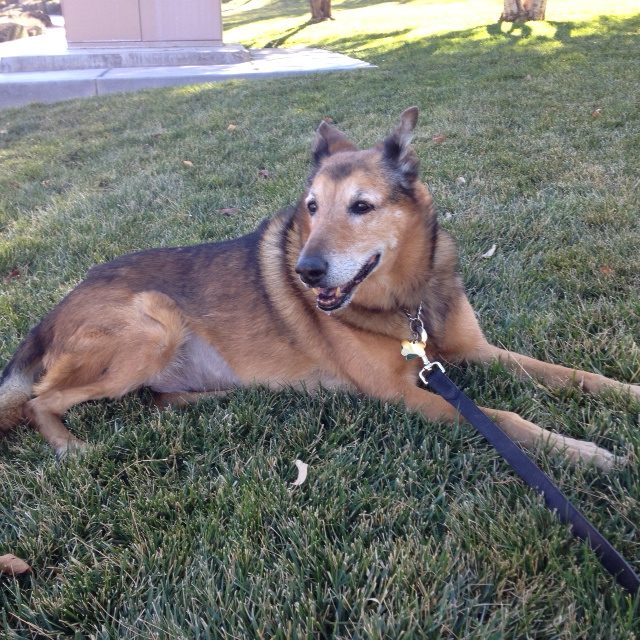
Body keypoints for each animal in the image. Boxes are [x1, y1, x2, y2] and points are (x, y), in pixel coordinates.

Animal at [0, 106, 636, 470]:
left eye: (361, 207)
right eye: (311, 207)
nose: (305, 271)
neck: (407, 302)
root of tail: (54, 310)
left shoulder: (474, 350)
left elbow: (572, 375)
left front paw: (625, 393)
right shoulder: (406, 395)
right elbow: (504, 419)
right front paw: (582, 451)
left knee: (151, 398)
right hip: (152, 323)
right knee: (38, 401)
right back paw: (69, 446)